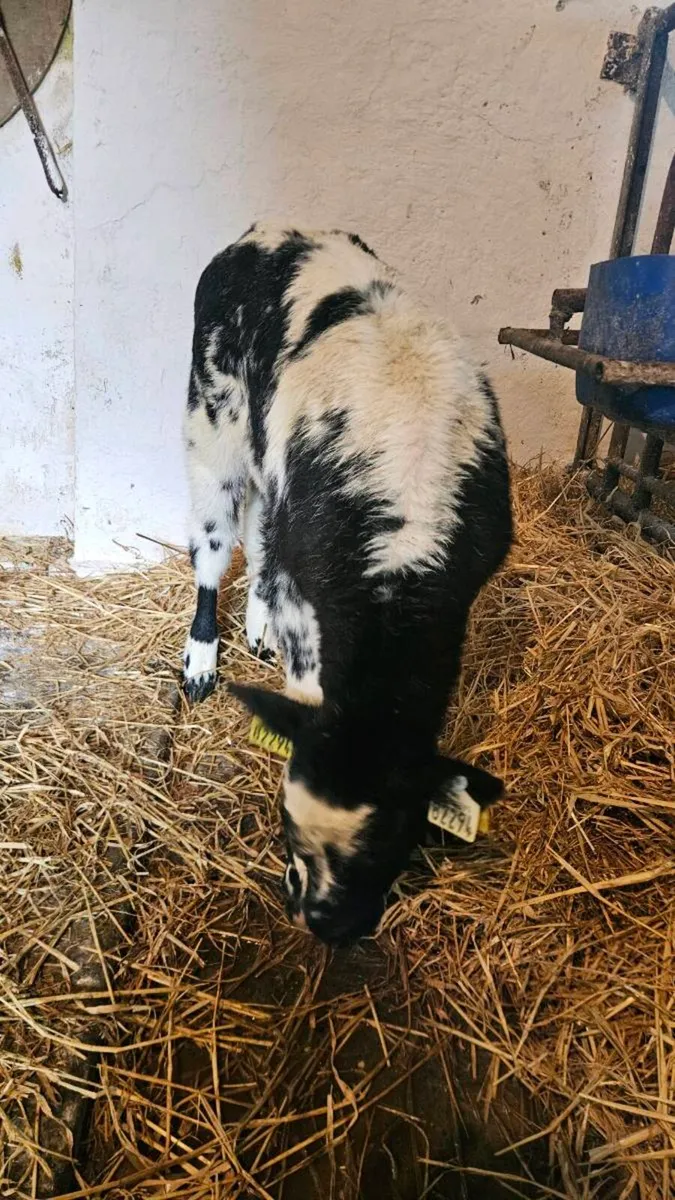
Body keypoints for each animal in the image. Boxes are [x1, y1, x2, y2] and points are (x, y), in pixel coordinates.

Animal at [182, 222, 513, 945]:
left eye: (397, 838)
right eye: (285, 824)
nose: (326, 925)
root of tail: (270, 230)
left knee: (264, 533)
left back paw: (253, 627)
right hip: (212, 417)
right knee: (214, 543)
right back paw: (201, 657)